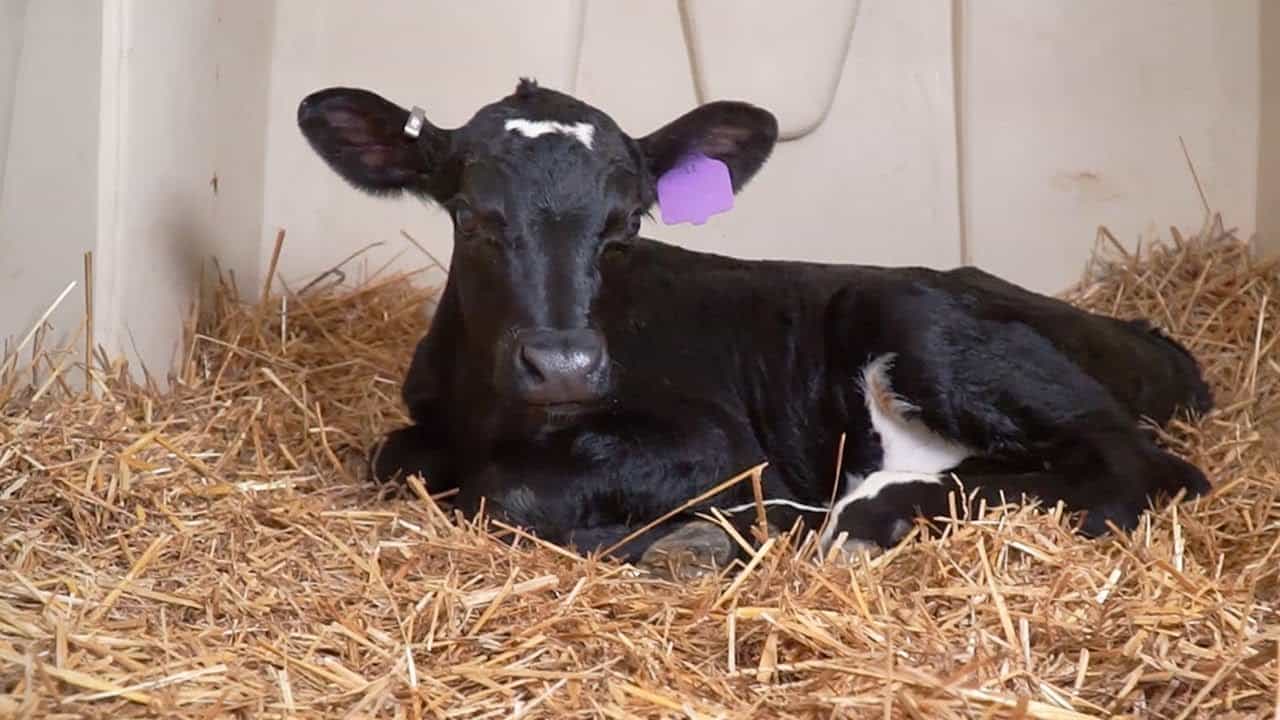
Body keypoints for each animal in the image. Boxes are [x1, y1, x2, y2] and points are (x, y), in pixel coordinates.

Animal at [296, 79, 1212, 569]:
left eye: (626, 224)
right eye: (472, 216)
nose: (564, 364)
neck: (493, 416)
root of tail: (1151, 337)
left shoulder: (721, 445)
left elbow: (502, 492)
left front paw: (695, 540)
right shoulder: (419, 422)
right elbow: (397, 459)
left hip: (919, 321)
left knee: (1143, 465)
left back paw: (873, 516)